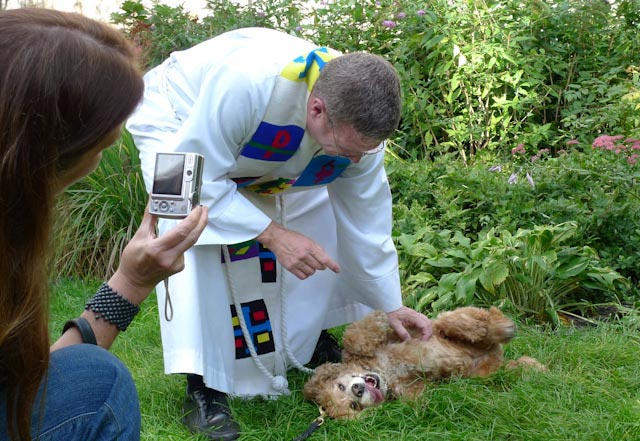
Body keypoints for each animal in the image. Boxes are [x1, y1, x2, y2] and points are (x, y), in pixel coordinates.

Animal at [302, 304, 544, 418]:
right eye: (354, 406)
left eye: (341, 386)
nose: (358, 390)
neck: (386, 372)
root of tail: (494, 354)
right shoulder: (410, 387)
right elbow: (417, 399)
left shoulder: (396, 336)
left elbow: (353, 337)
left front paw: (379, 316)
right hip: (484, 374)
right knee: (512, 367)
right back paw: (535, 369)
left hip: (447, 324)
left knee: (470, 321)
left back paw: (502, 327)